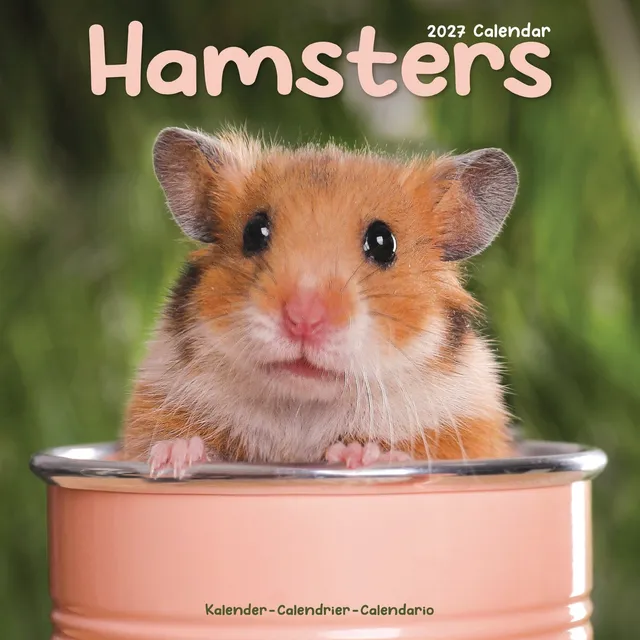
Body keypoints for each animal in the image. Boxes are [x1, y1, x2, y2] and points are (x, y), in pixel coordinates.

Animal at [121, 126, 519, 477]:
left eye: (383, 243)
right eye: (254, 232)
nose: (303, 319)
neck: (303, 406)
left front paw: (362, 455)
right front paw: (171, 457)